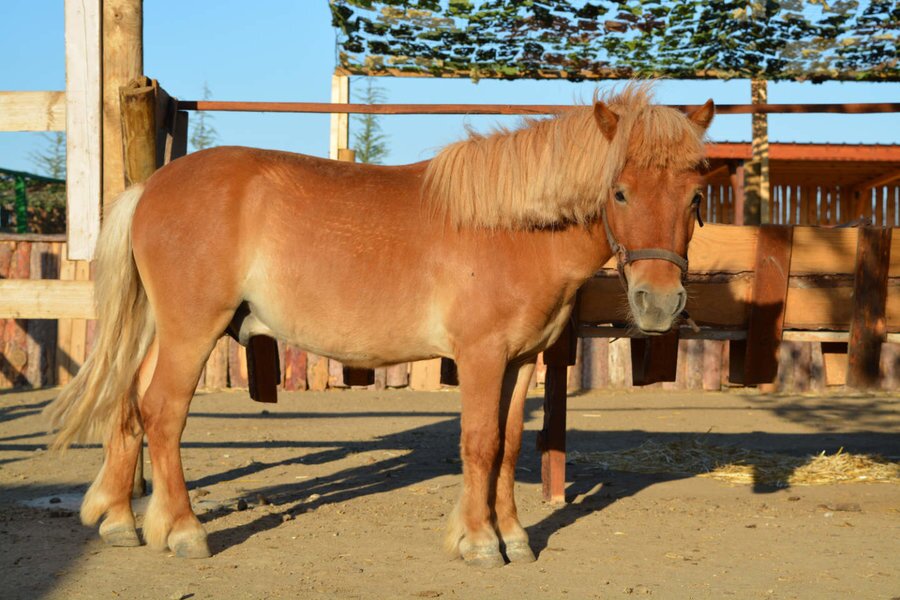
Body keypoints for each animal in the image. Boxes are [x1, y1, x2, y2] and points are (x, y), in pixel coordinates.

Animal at [45, 85, 714, 568]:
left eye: (694, 197)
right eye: (619, 192)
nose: (659, 303)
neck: (510, 229)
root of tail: (149, 187)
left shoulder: (522, 361)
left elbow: (509, 445)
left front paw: (515, 537)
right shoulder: (480, 356)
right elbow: (480, 442)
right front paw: (478, 542)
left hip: (166, 332)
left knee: (130, 402)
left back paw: (121, 519)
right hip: (191, 332)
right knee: (163, 411)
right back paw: (182, 531)